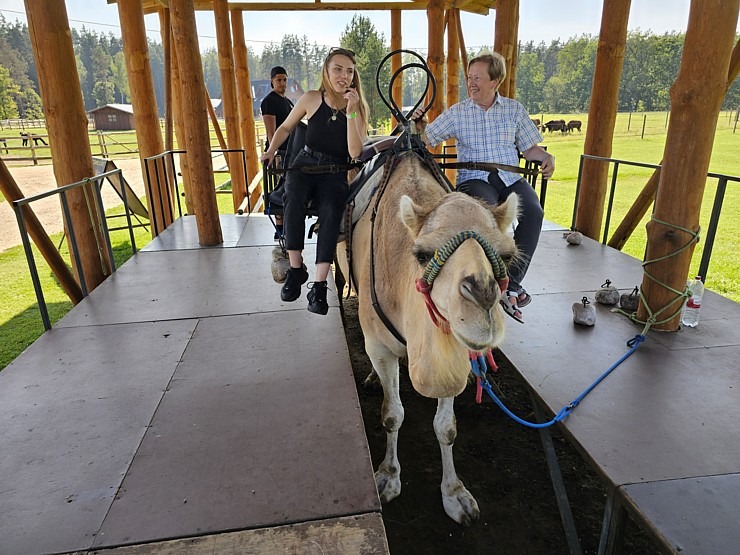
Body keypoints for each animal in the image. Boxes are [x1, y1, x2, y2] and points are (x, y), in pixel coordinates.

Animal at [336, 148, 516, 524]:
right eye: (422, 253)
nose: (482, 297)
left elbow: (446, 426)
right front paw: (388, 477)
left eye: (506, 255)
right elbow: (392, 414)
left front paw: (454, 494)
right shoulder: (381, 347)